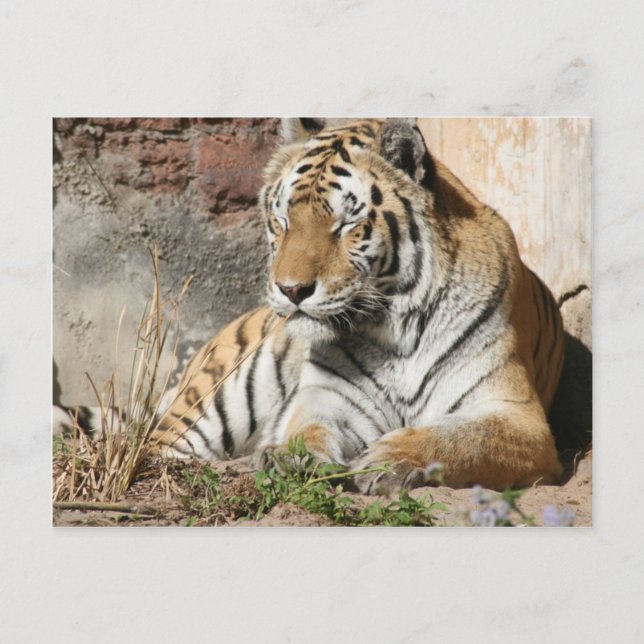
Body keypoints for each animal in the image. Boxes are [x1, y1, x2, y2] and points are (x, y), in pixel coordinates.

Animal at [56, 117, 565, 495]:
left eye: (345, 224)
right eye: (281, 219)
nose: (291, 290)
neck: (394, 327)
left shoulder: (516, 415)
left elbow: (456, 438)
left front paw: (387, 460)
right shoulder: (328, 397)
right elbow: (308, 428)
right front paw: (289, 458)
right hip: (217, 399)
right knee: (158, 448)